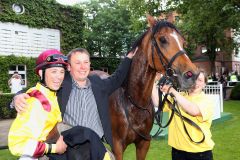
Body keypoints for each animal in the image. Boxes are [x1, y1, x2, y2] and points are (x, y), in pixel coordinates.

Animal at [95, 14, 199, 159]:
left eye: (182, 41)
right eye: (162, 39)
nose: (192, 74)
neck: (133, 102)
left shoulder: (143, 143)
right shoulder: (117, 147)